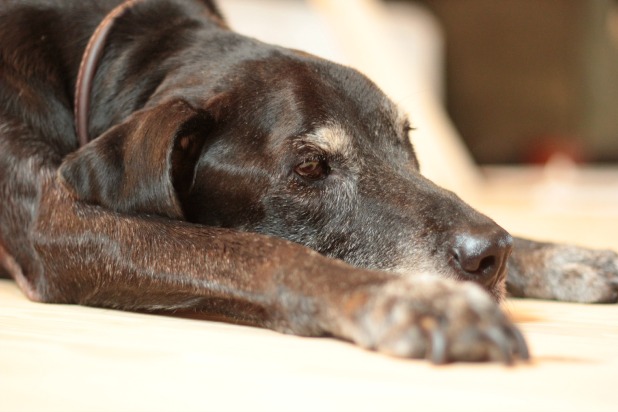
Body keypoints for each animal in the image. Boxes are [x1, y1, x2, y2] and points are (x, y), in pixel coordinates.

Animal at [0, 0, 612, 362]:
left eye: (407, 141)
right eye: (311, 168)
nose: (491, 255)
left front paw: (564, 257)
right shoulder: (58, 220)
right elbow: (255, 252)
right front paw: (410, 298)